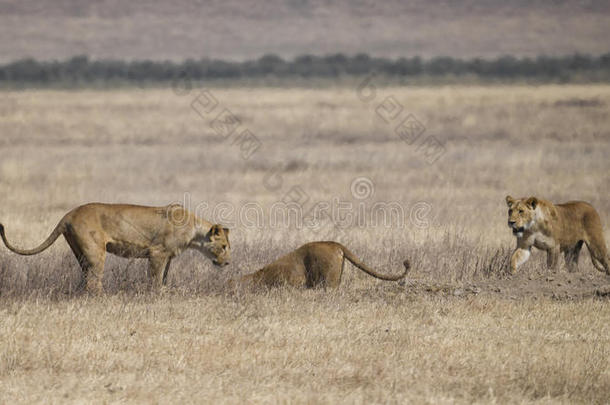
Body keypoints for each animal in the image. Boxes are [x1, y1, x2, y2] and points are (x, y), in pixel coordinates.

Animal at [1, 202, 229, 294]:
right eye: (224, 246)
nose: (227, 263)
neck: (194, 233)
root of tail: (68, 215)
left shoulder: (168, 257)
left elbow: (163, 277)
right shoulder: (157, 253)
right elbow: (155, 279)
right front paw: (157, 295)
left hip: (81, 253)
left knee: (86, 279)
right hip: (96, 253)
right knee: (94, 282)